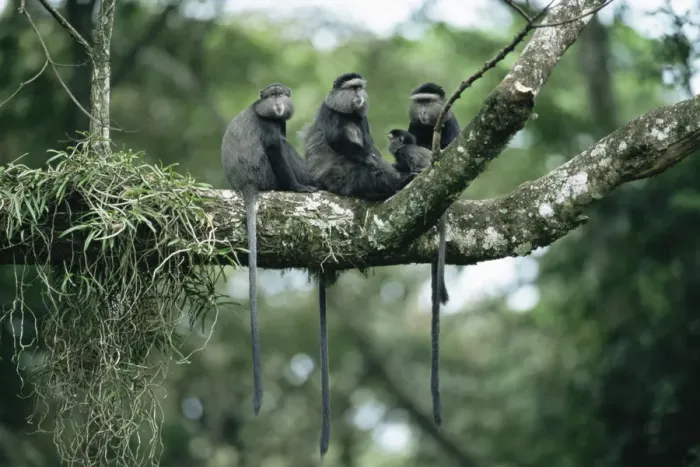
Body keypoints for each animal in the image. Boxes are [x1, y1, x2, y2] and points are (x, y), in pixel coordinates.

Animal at [221, 83, 317, 417]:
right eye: (271, 95)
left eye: (281, 95)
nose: (277, 104)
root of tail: (246, 185)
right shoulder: (270, 128)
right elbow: (276, 147)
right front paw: (299, 188)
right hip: (266, 176)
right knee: (282, 149)